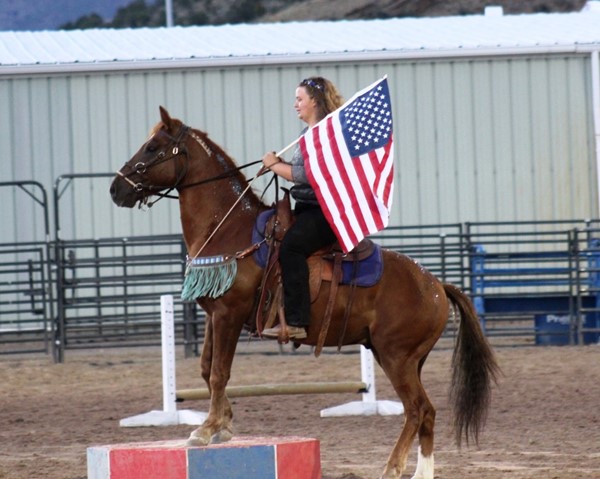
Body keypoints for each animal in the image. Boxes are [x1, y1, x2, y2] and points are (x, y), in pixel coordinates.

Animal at [110, 108, 500, 479]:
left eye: (153, 147)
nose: (116, 188)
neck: (229, 228)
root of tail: (436, 285)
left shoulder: (229, 315)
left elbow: (220, 372)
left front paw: (205, 430)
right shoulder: (214, 315)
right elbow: (207, 370)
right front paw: (225, 424)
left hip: (397, 356)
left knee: (418, 409)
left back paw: (392, 467)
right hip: (405, 358)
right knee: (425, 413)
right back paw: (420, 471)